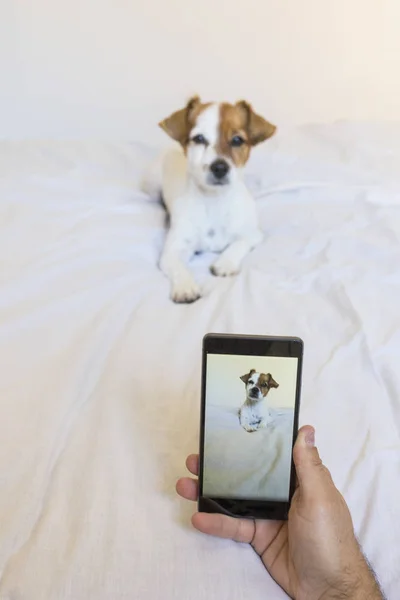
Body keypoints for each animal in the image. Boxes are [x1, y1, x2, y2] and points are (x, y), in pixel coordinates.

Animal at [142, 99, 276, 304]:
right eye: (199, 139)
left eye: (237, 140)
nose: (219, 167)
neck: (215, 201)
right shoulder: (173, 250)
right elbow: (178, 267)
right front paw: (185, 286)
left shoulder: (253, 234)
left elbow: (238, 244)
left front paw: (225, 263)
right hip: (151, 187)